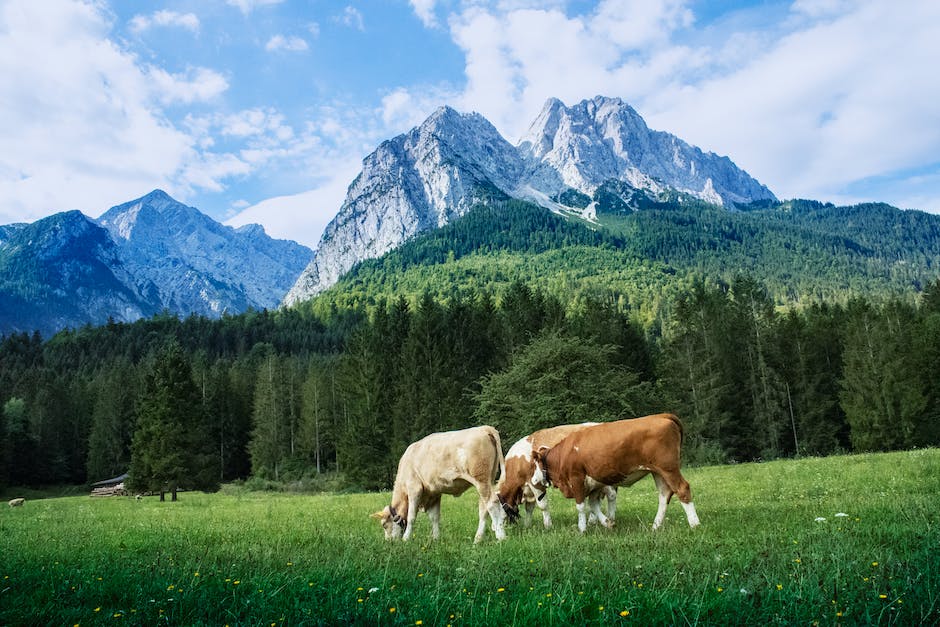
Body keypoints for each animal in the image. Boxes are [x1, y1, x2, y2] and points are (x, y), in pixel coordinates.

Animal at [372, 426, 510, 544]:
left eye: (384, 524)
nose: (388, 541)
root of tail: (485, 428)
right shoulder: (434, 492)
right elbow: (435, 517)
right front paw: (436, 538)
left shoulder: (414, 488)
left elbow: (411, 516)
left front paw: (406, 538)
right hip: (488, 480)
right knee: (483, 508)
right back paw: (478, 539)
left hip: (481, 480)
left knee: (492, 503)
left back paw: (501, 536)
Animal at [528, 414, 696, 532]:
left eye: (535, 464)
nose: (534, 480)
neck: (565, 453)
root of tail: (661, 416)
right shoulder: (594, 483)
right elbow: (593, 505)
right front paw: (607, 523)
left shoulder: (577, 478)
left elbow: (581, 506)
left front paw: (582, 528)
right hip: (658, 472)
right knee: (664, 495)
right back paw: (655, 526)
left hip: (668, 468)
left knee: (682, 489)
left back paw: (694, 524)